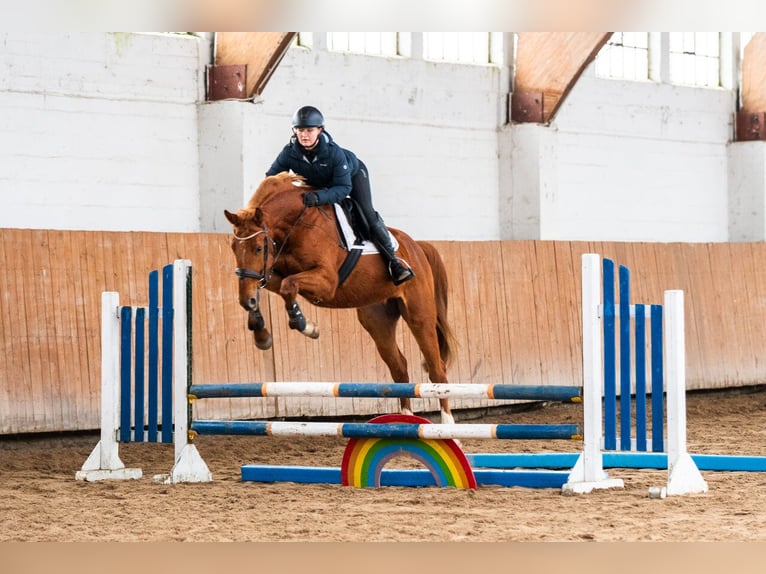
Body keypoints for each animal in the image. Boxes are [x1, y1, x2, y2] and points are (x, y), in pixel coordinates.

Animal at [225, 169, 460, 426]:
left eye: (258, 248)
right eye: (233, 247)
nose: (244, 301)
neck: (296, 225)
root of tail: (417, 247)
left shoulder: (326, 281)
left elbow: (289, 286)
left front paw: (306, 326)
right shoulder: (273, 273)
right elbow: (270, 285)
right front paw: (261, 331)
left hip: (419, 315)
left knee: (437, 368)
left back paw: (447, 425)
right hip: (377, 320)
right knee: (399, 367)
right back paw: (404, 420)